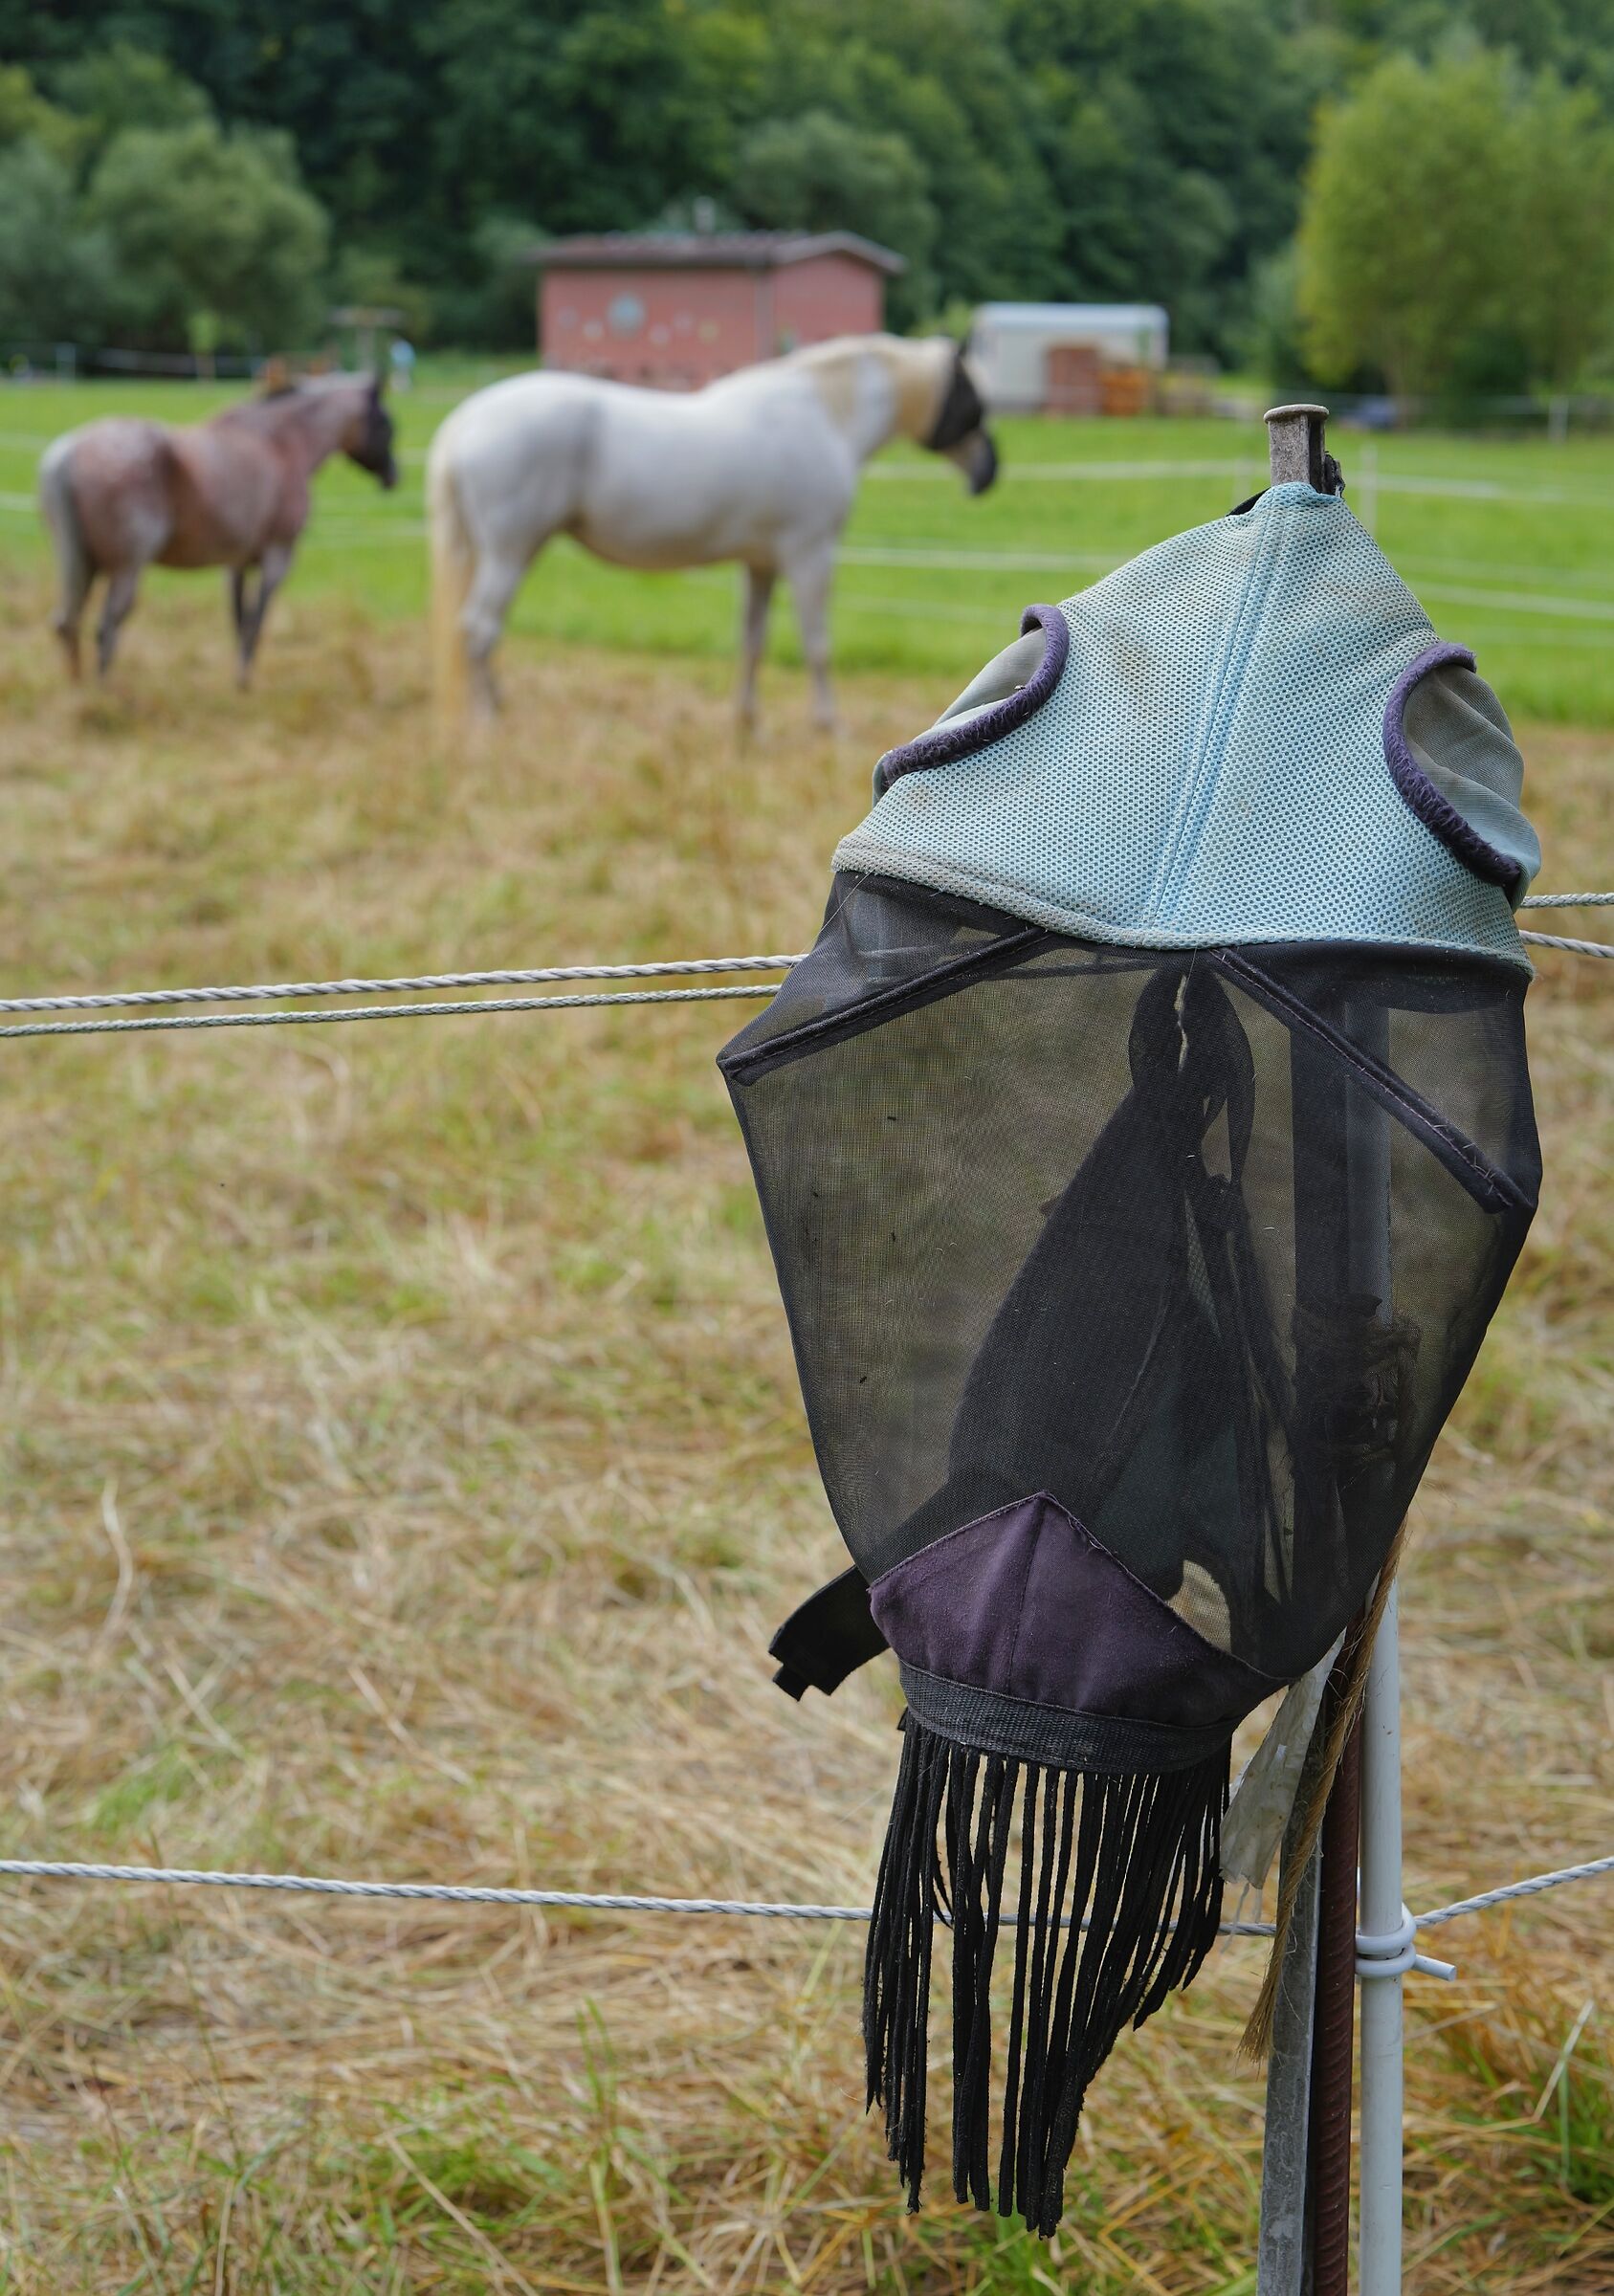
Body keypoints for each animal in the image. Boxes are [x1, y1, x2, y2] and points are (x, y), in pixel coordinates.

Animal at [38, 371, 398, 685]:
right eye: (385, 424)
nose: (394, 477)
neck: (279, 445)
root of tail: (67, 452)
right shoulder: (278, 556)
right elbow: (256, 621)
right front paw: (245, 682)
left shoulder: (237, 562)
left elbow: (239, 621)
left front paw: (239, 680)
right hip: (126, 569)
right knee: (105, 629)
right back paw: (105, 695)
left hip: (85, 564)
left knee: (68, 623)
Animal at [427, 334, 996, 736]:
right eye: (969, 397)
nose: (988, 472)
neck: (824, 413)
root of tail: (466, 422)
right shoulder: (809, 555)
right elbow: (816, 643)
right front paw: (829, 725)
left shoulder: (761, 563)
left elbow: (753, 642)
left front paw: (748, 725)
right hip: (511, 552)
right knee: (479, 628)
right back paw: (490, 717)